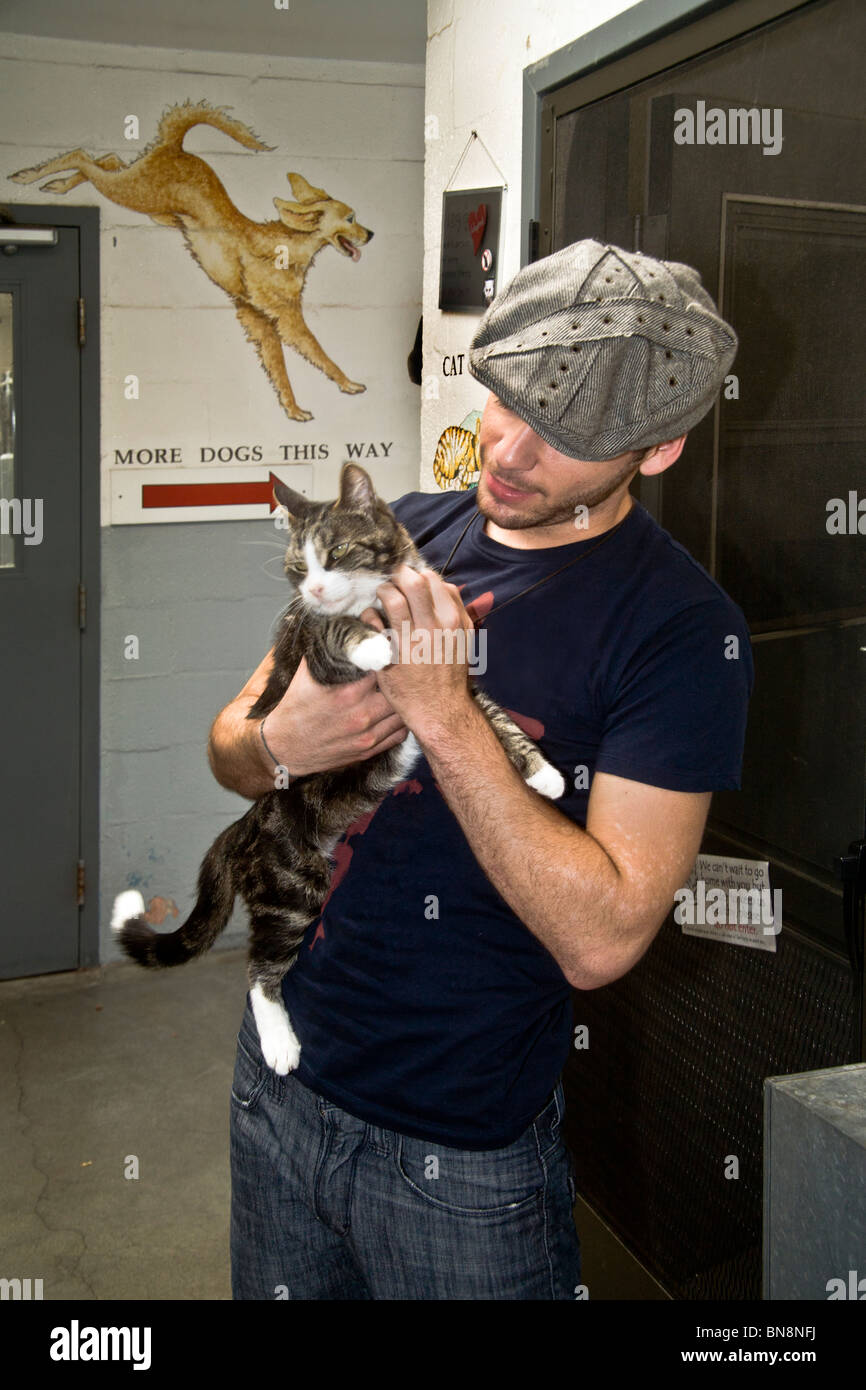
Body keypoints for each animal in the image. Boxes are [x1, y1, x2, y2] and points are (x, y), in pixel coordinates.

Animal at [109, 467, 569, 1073]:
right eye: (298, 568)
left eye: (339, 552)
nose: (315, 591)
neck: (378, 598)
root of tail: (246, 827)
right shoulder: (315, 651)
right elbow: (337, 633)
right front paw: (374, 645)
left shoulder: (460, 684)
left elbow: (495, 718)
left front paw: (545, 774)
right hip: (294, 886)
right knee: (259, 970)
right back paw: (279, 1042)